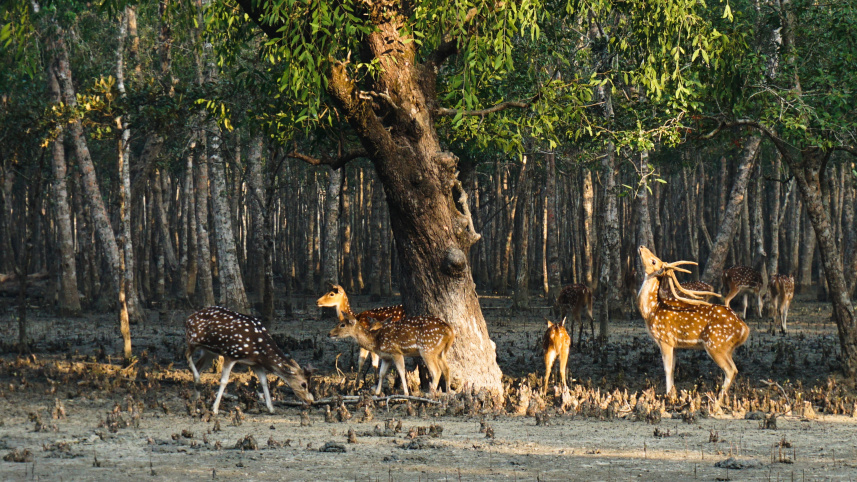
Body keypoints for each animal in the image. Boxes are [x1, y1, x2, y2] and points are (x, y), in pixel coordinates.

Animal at [185, 306, 314, 414]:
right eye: (303, 384)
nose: (310, 401)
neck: (258, 351)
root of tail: (189, 318)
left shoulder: (255, 363)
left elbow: (264, 381)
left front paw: (271, 408)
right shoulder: (231, 354)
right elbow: (224, 381)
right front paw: (215, 408)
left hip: (209, 351)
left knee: (198, 365)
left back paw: (196, 399)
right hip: (192, 340)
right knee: (187, 356)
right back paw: (198, 383)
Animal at [637, 246, 750, 402]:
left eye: (654, 261)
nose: (642, 247)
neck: (652, 311)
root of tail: (745, 329)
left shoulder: (665, 339)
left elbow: (667, 368)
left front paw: (668, 396)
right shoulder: (674, 344)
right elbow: (673, 368)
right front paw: (673, 394)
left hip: (715, 344)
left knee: (730, 370)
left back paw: (717, 401)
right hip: (727, 348)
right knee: (735, 368)